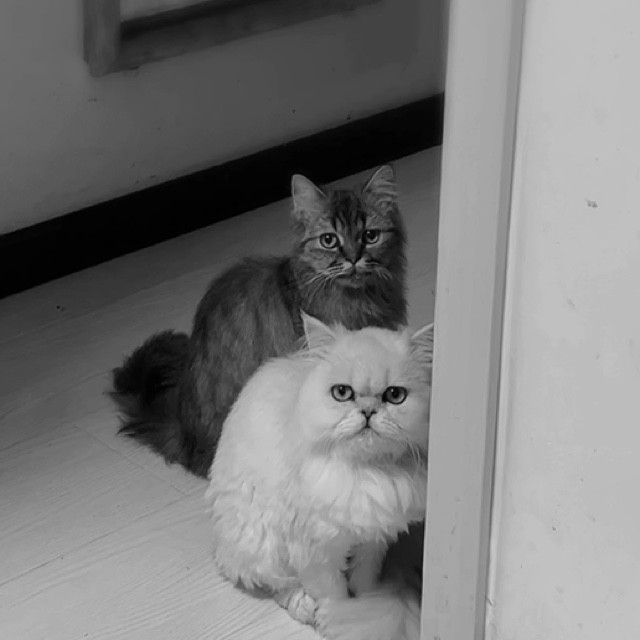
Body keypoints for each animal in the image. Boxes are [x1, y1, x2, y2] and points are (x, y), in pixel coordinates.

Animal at [206, 314, 433, 640]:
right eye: (342, 393)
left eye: (394, 395)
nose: (368, 411)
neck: (367, 472)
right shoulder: (317, 550)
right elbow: (332, 591)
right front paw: (337, 617)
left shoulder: (373, 540)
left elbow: (364, 583)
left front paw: (363, 609)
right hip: (261, 543)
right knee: (279, 583)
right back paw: (303, 607)